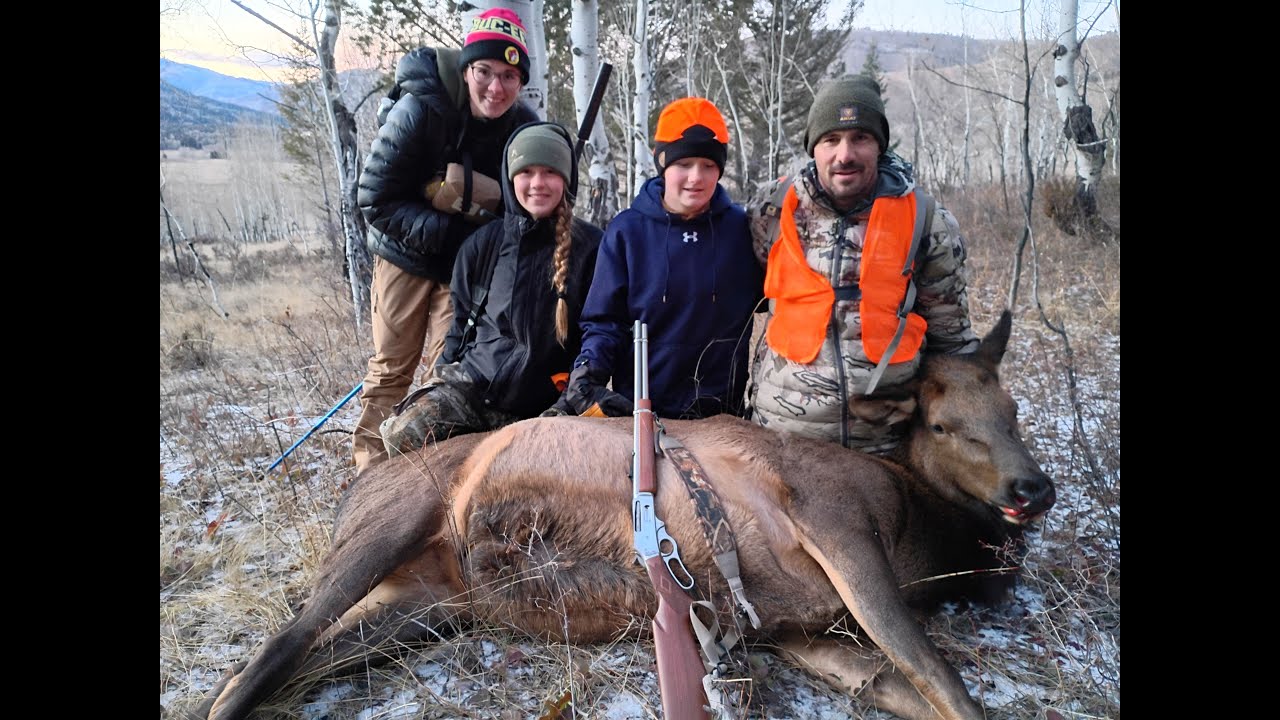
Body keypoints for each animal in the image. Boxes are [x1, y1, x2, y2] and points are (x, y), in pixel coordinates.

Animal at [193, 310, 1054, 720]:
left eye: (1014, 407)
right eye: (941, 424)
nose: (1032, 489)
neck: (923, 542)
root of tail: (357, 486)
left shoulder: (804, 632)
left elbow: (901, 684)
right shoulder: (838, 527)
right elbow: (943, 675)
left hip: (424, 604)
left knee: (291, 658)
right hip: (389, 529)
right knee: (278, 646)